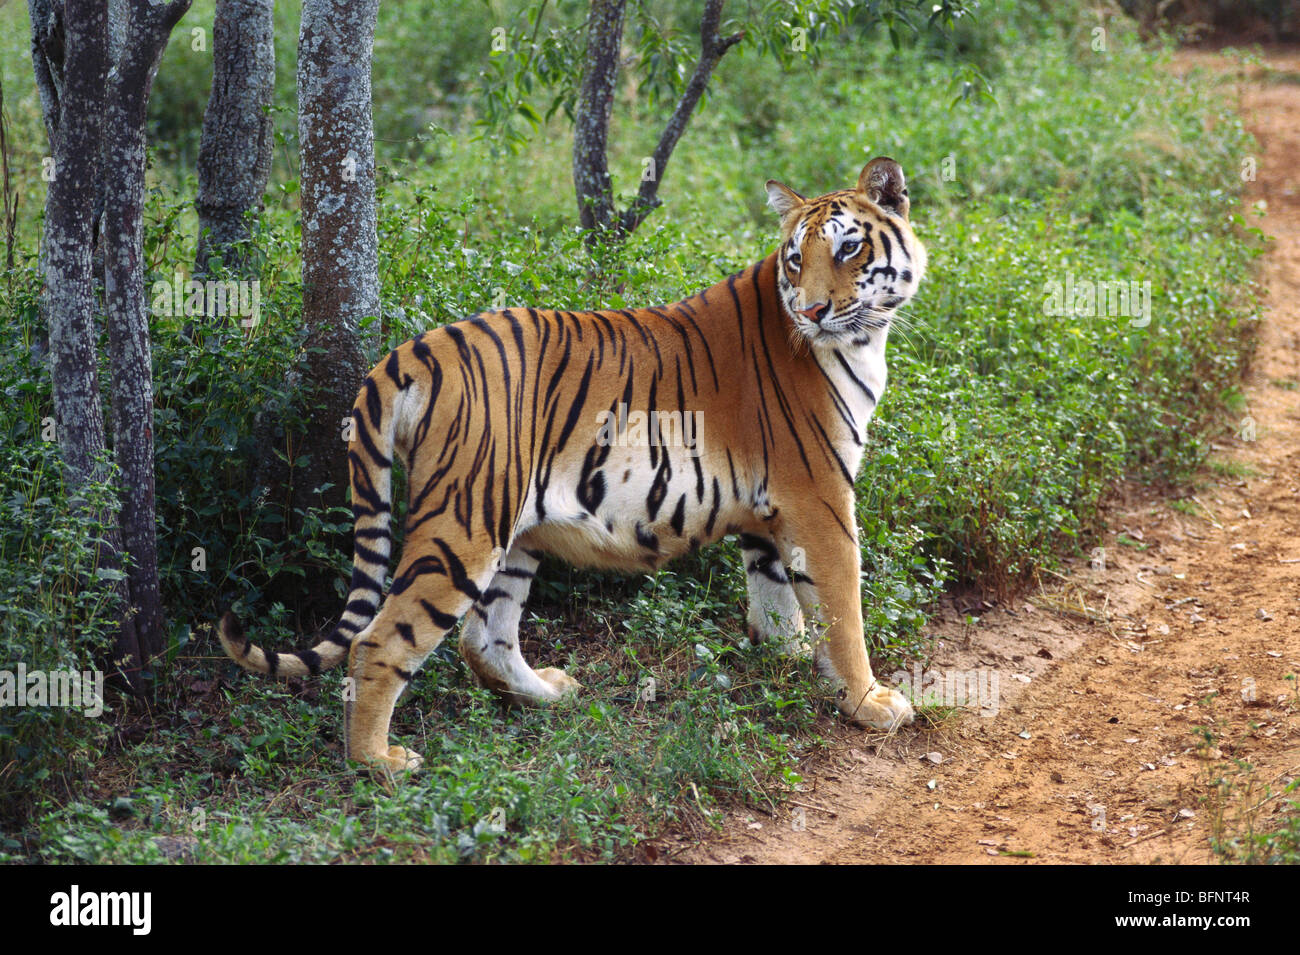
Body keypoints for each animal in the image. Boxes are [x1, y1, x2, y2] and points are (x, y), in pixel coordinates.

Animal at [220, 155, 925, 769]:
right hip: (464, 523)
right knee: (381, 638)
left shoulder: (767, 507)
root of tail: (414, 350)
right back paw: (378, 763)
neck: (861, 340)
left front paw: (787, 658)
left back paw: (548, 695)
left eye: (847, 250)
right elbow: (843, 606)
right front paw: (869, 701)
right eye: (797, 257)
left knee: (486, 638)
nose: (812, 310)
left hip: (514, 530)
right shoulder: (821, 495)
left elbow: (775, 591)